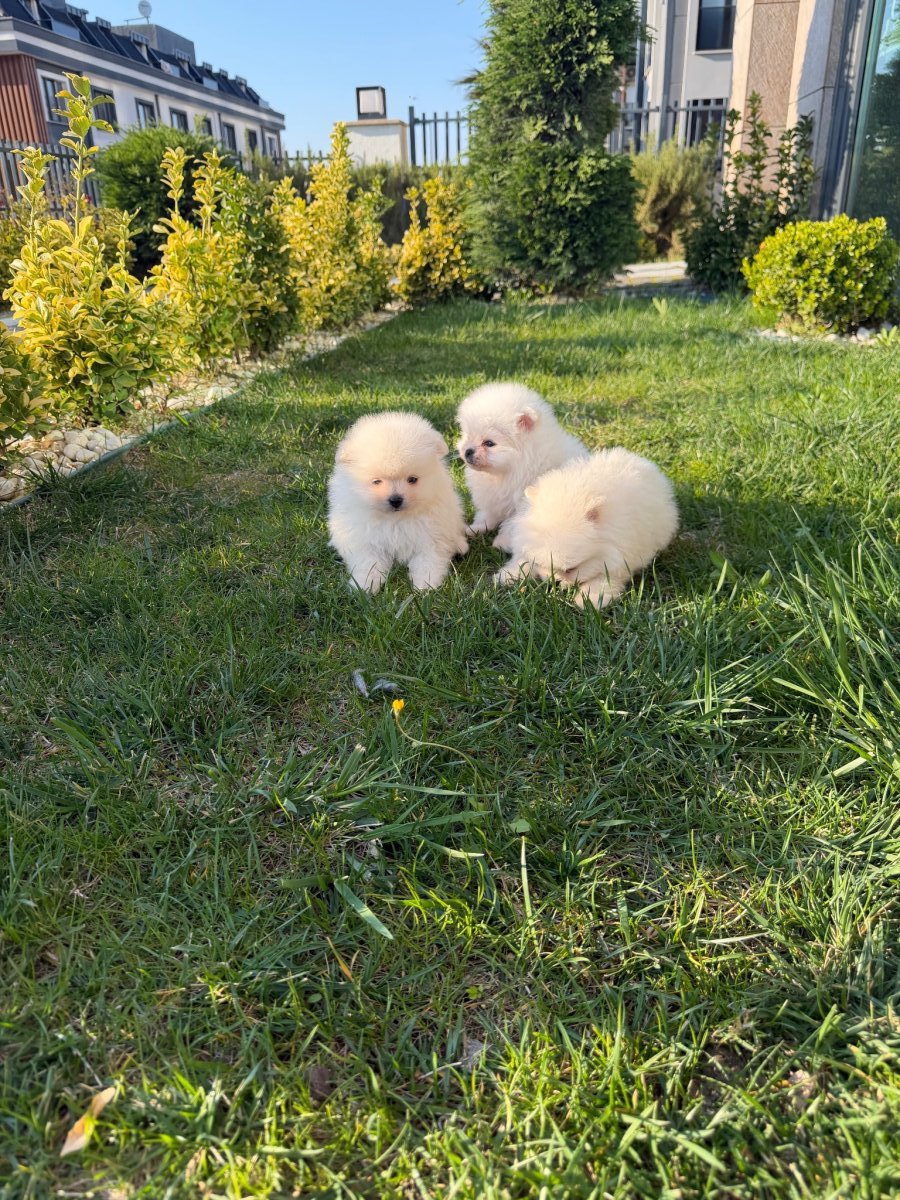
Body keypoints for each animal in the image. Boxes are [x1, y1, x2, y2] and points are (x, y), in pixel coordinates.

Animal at [328, 411, 468, 593]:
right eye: (376, 481)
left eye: (412, 479)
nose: (395, 499)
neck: (395, 519)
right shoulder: (365, 540)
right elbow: (368, 563)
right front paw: (365, 585)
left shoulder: (431, 536)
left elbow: (428, 561)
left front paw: (425, 585)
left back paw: (460, 545)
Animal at [456, 382, 589, 550]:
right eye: (467, 436)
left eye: (489, 443)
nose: (468, 451)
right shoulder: (493, 497)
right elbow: (488, 514)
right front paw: (477, 528)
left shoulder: (523, 505)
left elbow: (512, 525)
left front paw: (502, 542)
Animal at [494, 447, 678, 608]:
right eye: (544, 565)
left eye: (571, 569)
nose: (556, 581)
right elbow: (523, 560)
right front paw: (507, 576)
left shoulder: (621, 558)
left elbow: (604, 580)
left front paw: (589, 600)